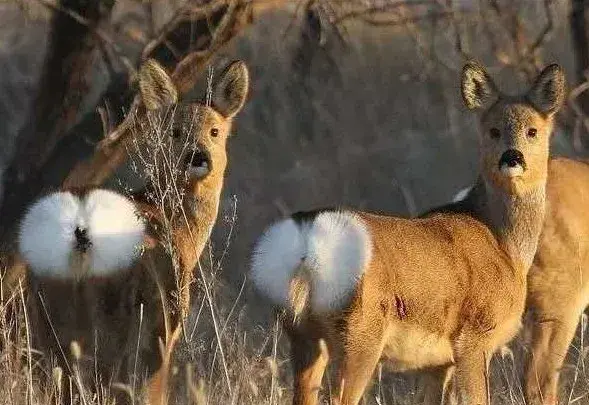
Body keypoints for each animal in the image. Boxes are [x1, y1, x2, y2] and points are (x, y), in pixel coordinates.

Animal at [13, 58, 248, 402]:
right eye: (175, 132)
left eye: (214, 131)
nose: (198, 156)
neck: (179, 228)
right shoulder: (165, 319)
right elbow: (154, 390)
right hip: (113, 316)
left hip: (46, 315)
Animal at [248, 62, 564, 404]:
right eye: (493, 130)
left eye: (532, 130)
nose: (512, 157)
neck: (504, 245)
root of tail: (306, 239)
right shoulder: (475, 336)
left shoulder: (437, 362)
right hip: (359, 332)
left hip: (302, 332)